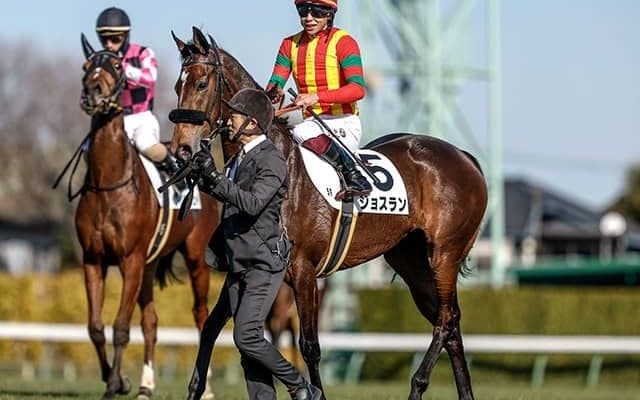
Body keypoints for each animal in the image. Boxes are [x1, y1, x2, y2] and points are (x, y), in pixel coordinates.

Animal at [75, 34, 220, 399]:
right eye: (86, 65)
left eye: (116, 65)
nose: (92, 92)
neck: (109, 184)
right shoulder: (93, 260)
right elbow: (95, 327)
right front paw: (119, 379)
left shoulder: (130, 260)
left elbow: (120, 327)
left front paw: (114, 383)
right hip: (151, 263)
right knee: (151, 322)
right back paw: (145, 384)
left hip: (196, 257)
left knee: (201, 315)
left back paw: (206, 388)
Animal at [170, 27, 487, 400]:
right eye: (177, 86)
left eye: (201, 84)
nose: (182, 150)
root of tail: (465, 157)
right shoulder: (244, 269)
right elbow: (210, 327)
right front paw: (195, 389)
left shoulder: (304, 271)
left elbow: (310, 345)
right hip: (410, 260)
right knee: (450, 320)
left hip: (444, 253)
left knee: (445, 320)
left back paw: (417, 385)